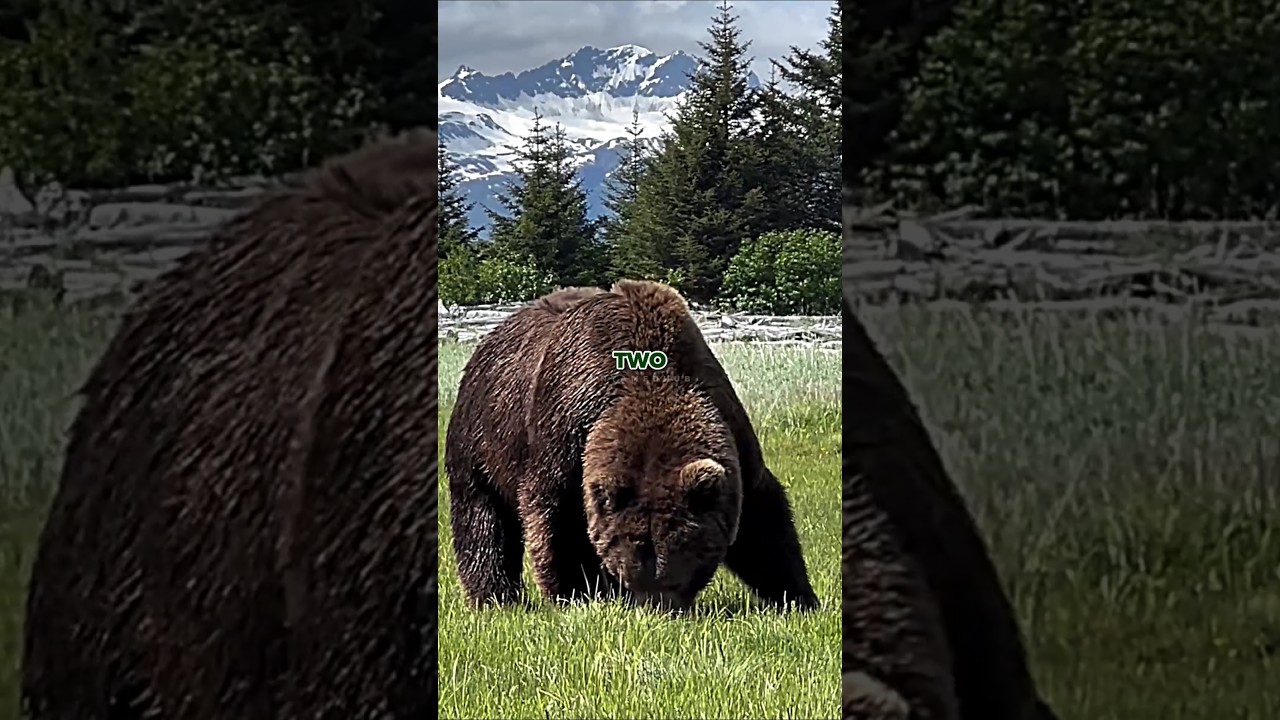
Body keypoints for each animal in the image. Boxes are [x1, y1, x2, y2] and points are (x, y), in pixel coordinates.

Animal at [444, 279, 819, 612]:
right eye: (629, 568)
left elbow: (762, 519)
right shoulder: (565, 426)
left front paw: (798, 597)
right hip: (482, 437)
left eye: (680, 572)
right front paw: (575, 594)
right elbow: (554, 516)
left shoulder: (728, 423)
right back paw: (495, 598)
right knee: (482, 518)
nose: (656, 608)